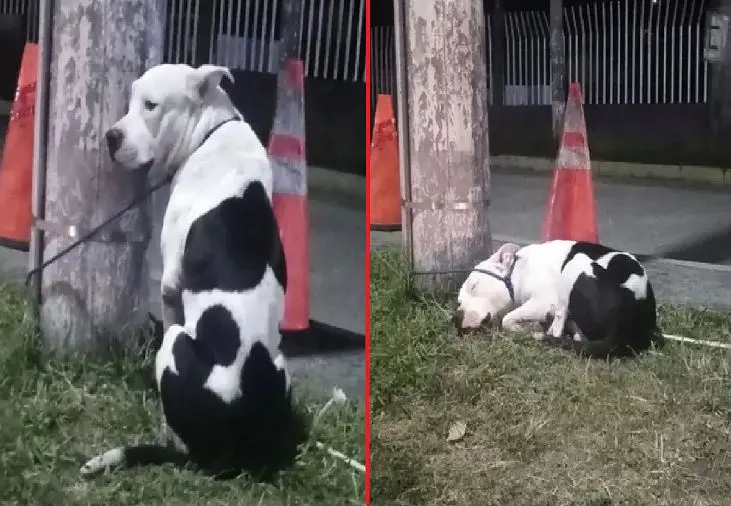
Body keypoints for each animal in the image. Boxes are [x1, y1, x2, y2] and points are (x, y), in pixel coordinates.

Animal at [80, 63, 306, 478]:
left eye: (151, 105)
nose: (111, 137)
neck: (211, 130)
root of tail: (227, 449)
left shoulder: (171, 286)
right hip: (283, 368)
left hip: (176, 344)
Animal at [452, 239, 664, 358]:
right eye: (459, 302)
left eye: (474, 285)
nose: (457, 317)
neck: (518, 269)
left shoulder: (543, 301)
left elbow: (507, 319)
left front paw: (526, 328)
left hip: (576, 262)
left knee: (560, 319)